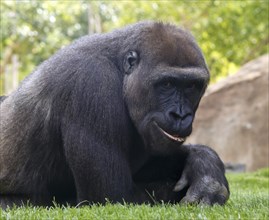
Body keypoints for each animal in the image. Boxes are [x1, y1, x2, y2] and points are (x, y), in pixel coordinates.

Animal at [0, 21, 228, 208]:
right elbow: (113, 196)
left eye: (192, 86)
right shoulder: (92, 82)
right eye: (167, 84)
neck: (119, 69)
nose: (180, 115)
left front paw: (205, 164)